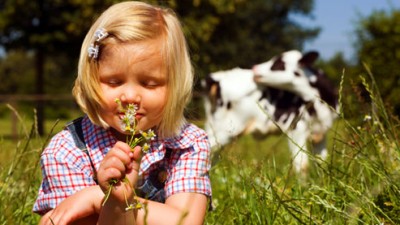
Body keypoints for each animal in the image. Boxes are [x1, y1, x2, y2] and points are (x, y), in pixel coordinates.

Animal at [203, 50, 338, 172]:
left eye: (279, 64)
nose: (254, 68)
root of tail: (219, 77)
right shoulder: (295, 129)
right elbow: (302, 166)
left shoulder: (322, 132)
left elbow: (322, 162)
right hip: (225, 129)